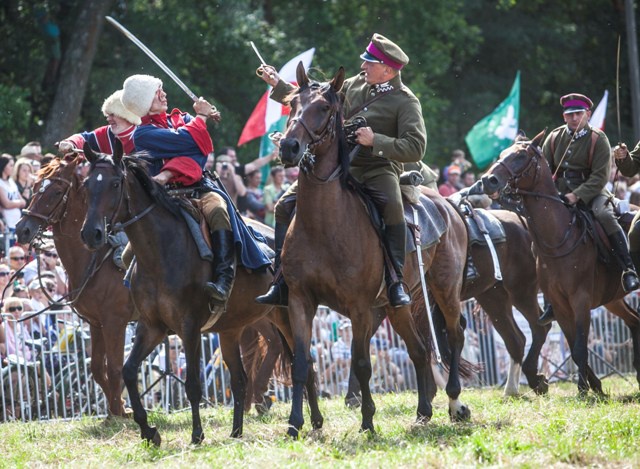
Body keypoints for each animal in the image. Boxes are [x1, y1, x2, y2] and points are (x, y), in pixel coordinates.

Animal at [77, 144, 320, 444]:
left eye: (115, 183)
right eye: (87, 184)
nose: (92, 234)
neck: (160, 252)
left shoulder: (189, 327)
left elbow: (192, 383)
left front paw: (196, 434)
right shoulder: (151, 327)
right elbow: (129, 372)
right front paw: (148, 431)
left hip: (286, 316)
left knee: (305, 364)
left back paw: (312, 421)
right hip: (231, 330)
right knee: (240, 380)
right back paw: (237, 431)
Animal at [276, 61, 470, 436]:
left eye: (324, 107)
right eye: (292, 103)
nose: (288, 147)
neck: (324, 225)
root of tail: (450, 208)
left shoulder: (360, 308)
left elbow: (362, 363)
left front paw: (367, 420)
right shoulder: (299, 300)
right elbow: (301, 362)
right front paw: (295, 424)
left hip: (444, 289)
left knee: (454, 335)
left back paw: (455, 402)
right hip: (398, 305)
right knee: (420, 350)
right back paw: (423, 412)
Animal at [480, 132, 640, 394]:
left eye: (520, 155)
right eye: (502, 154)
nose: (487, 180)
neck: (558, 237)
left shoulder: (580, 300)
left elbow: (580, 348)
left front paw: (584, 389)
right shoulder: (559, 305)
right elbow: (574, 348)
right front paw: (592, 387)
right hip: (612, 299)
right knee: (634, 321)